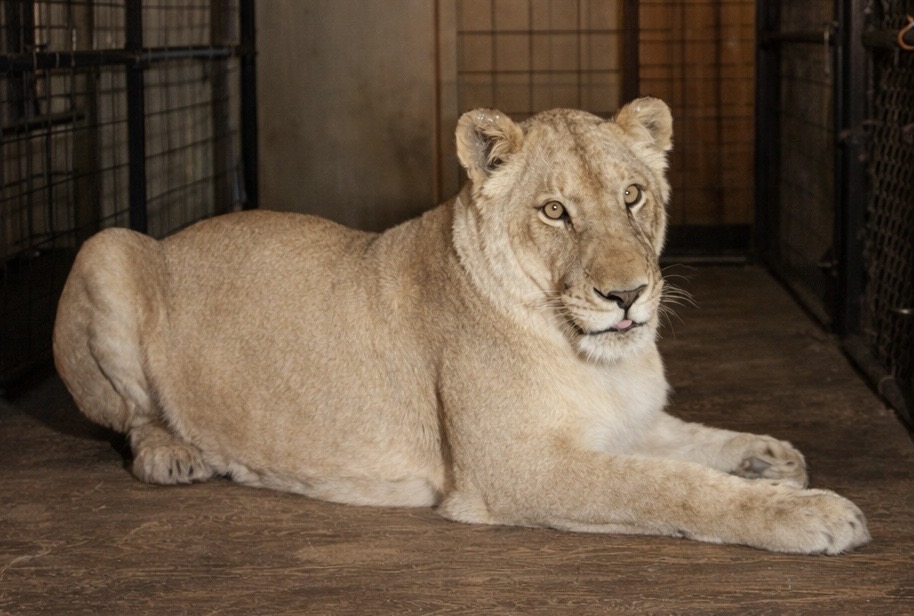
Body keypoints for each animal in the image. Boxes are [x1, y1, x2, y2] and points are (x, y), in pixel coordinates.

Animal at [53, 97, 869, 554]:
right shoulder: (515, 469)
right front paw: (811, 513)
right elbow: (669, 487)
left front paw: (767, 457)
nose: (628, 295)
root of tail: (173, 235)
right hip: (106, 247)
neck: (593, 356)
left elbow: (691, 443)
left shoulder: (624, 420)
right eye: (555, 211)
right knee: (129, 418)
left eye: (633, 196)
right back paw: (175, 454)